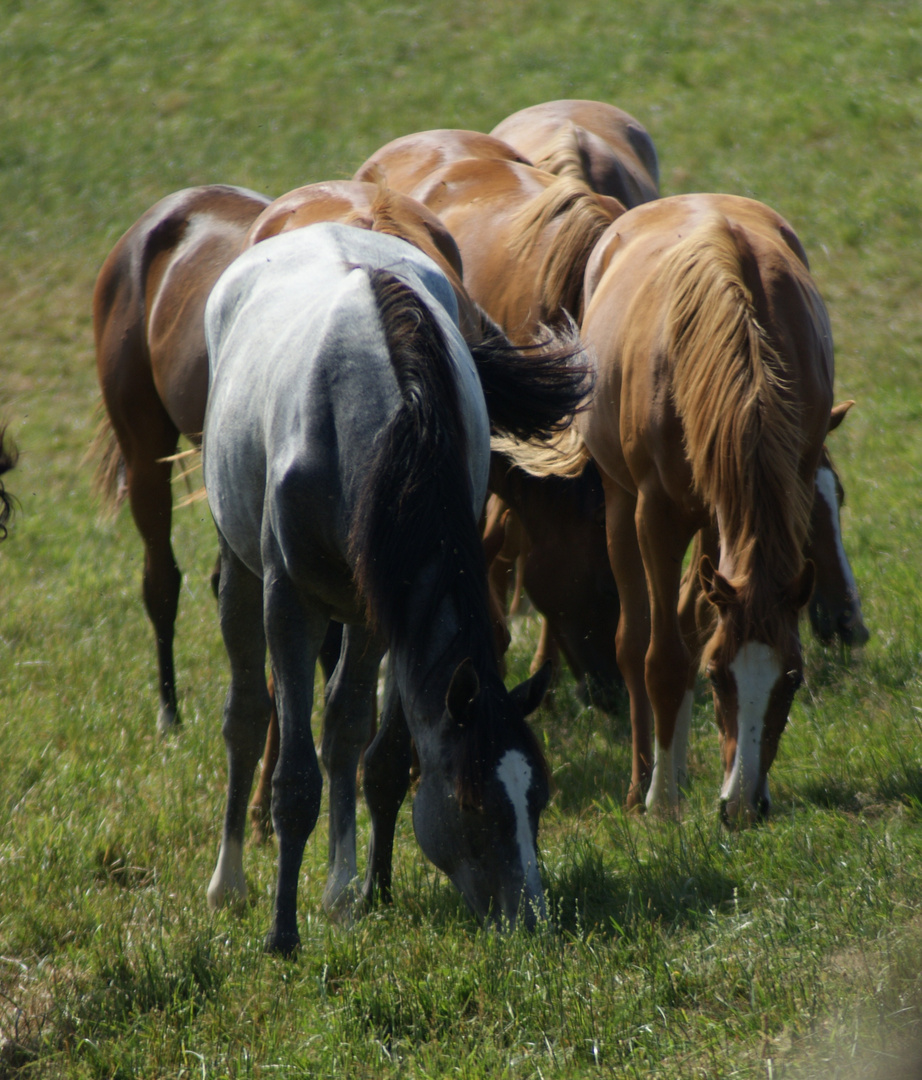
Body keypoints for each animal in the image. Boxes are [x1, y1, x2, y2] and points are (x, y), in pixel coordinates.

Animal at [206, 223, 587, 950]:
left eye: (539, 797)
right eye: (473, 803)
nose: (529, 919)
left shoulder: (387, 603)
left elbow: (376, 755)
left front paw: (368, 891)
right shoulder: (289, 603)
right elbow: (295, 776)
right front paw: (283, 933)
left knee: (343, 725)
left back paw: (341, 884)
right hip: (242, 572)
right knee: (246, 714)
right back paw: (230, 883)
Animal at [582, 194, 842, 820]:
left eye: (792, 679)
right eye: (719, 677)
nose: (743, 806)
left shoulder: (790, 486)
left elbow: (690, 635)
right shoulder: (656, 514)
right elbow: (663, 659)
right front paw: (661, 804)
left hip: (713, 520)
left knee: (686, 618)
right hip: (622, 502)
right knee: (635, 642)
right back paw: (645, 782)